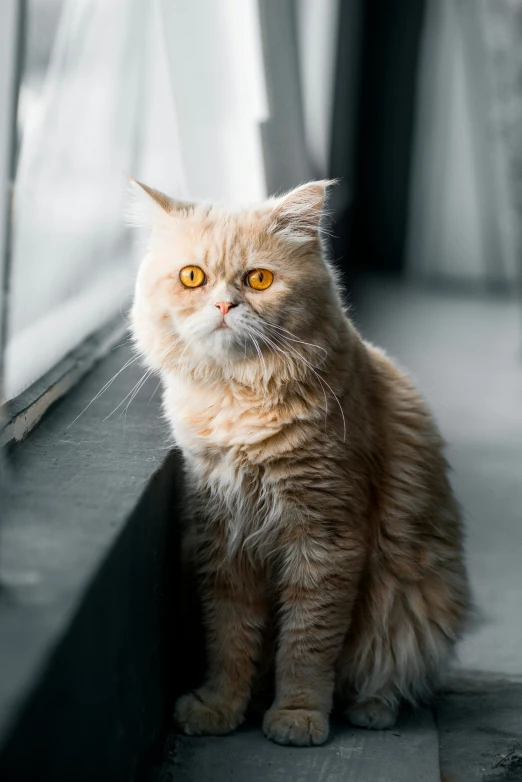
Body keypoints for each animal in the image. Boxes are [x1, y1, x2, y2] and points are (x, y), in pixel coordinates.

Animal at [129, 181, 468, 752]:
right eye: (193, 277)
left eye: (259, 279)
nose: (224, 304)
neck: (239, 401)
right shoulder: (224, 537)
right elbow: (229, 636)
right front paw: (221, 707)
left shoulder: (326, 537)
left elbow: (308, 643)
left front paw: (298, 715)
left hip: (418, 602)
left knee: (389, 671)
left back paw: (370, 709)